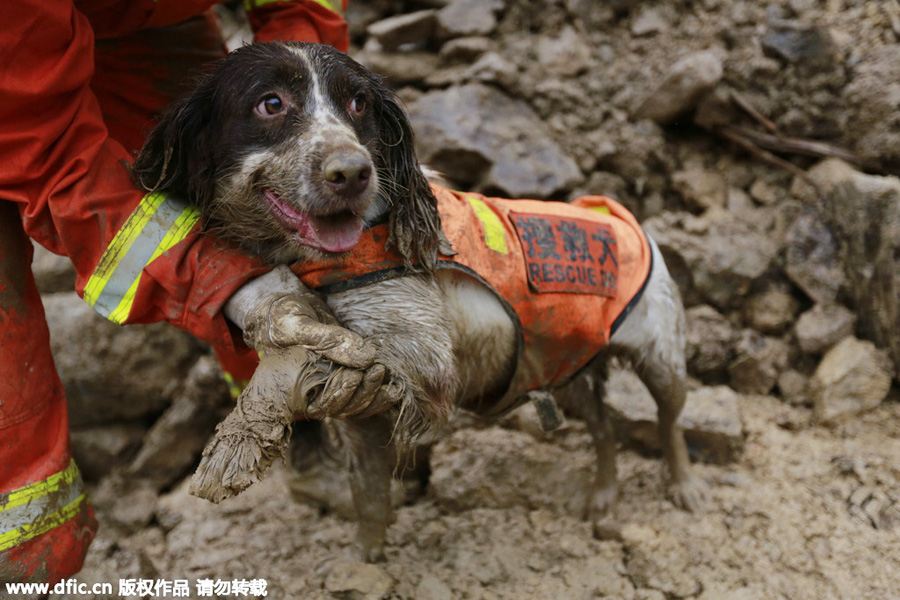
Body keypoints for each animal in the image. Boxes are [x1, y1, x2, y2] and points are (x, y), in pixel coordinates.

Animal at [135, 42, 712, 564]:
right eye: (270, 103)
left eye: (359, 102)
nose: (352, 171)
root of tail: (619, 214)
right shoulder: (362, 413)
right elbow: (368, 499)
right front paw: (362, 565)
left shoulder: (423, 360)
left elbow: (305, 369)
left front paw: (236, 442)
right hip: (564, 370)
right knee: (604, 427)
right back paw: (604, 494)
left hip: (662, 356)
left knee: (669, 422)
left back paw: (685, 486)